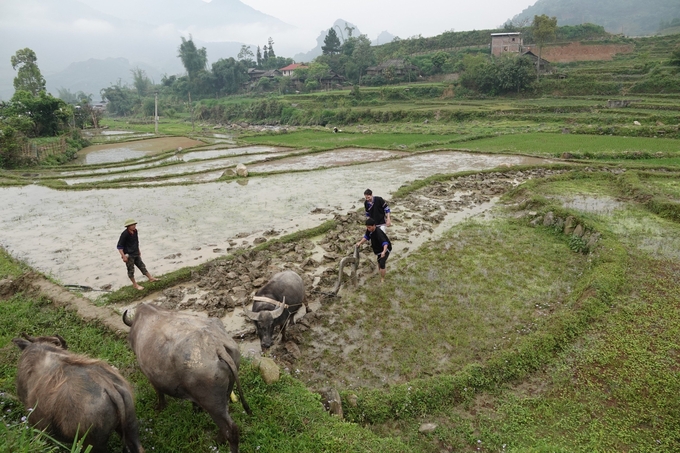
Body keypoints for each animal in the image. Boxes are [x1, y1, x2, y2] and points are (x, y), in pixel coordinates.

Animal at [122, 302, 250, 452]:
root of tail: (217, 346)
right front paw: (195, 410)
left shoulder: (151, 376)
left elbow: (159, 393)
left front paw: (160, 407)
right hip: (225, 393)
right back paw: (219, 439)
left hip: (213, 404)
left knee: (231, 430)